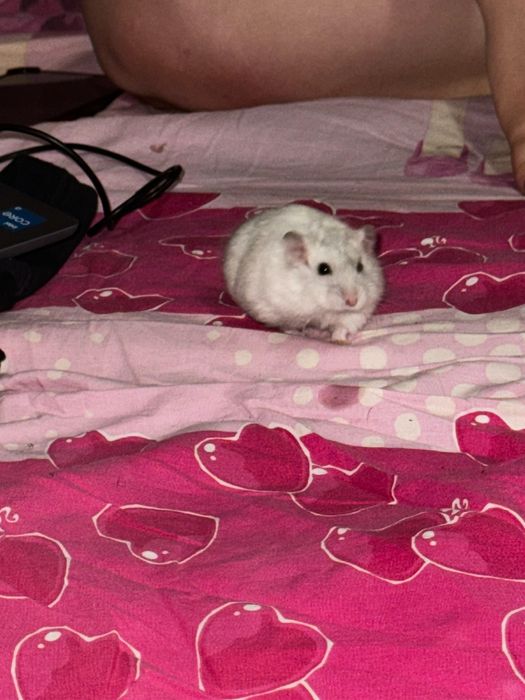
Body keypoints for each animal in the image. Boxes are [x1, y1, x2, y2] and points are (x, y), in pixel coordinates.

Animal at [223, 204, 384, 343]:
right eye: (323, 269)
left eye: (360, 267)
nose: (352, 301)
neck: (318, 305)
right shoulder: (280, 311)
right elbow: (288, 327)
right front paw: (301, 335)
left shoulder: (359, 312)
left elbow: (342, 327)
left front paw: (339, 341)